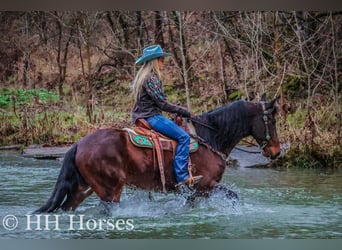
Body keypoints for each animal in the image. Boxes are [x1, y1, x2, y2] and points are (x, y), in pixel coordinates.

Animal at [34, 95, 280, 213]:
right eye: (271, 120)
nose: (276, 152)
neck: (210, 137)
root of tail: (79, 144)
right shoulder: (205, 185)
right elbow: (233, 197)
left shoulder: (197, 191)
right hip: (110, 190)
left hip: (82, 189)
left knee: (68, 207)